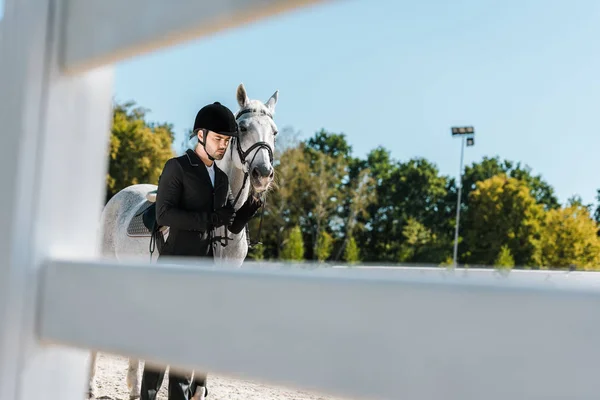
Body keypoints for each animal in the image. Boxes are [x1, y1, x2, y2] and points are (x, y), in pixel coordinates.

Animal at [88, 83, 280, 398]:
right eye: (242, 128)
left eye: (273, 132)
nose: (262, 174)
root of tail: (119, 196)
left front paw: (197, 389)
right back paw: (92, 386)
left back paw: (133, 387)